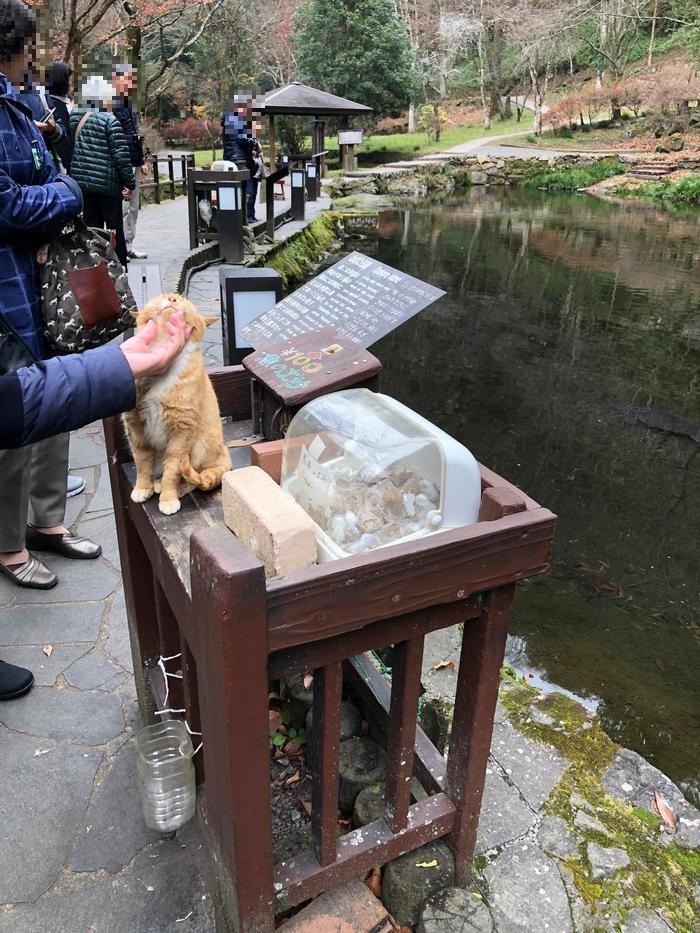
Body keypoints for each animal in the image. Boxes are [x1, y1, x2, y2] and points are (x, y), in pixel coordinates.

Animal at [121, 292, 230, 512]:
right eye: (162, 296)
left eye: (183, 299)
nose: (172, 298)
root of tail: (225, 454)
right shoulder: (135, 429)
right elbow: (142, 463)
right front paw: (142, 487)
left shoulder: (182, 430)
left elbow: (173, 469)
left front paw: (168, 497)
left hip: (199, 445)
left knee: (196, 478)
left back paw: (167, 487)